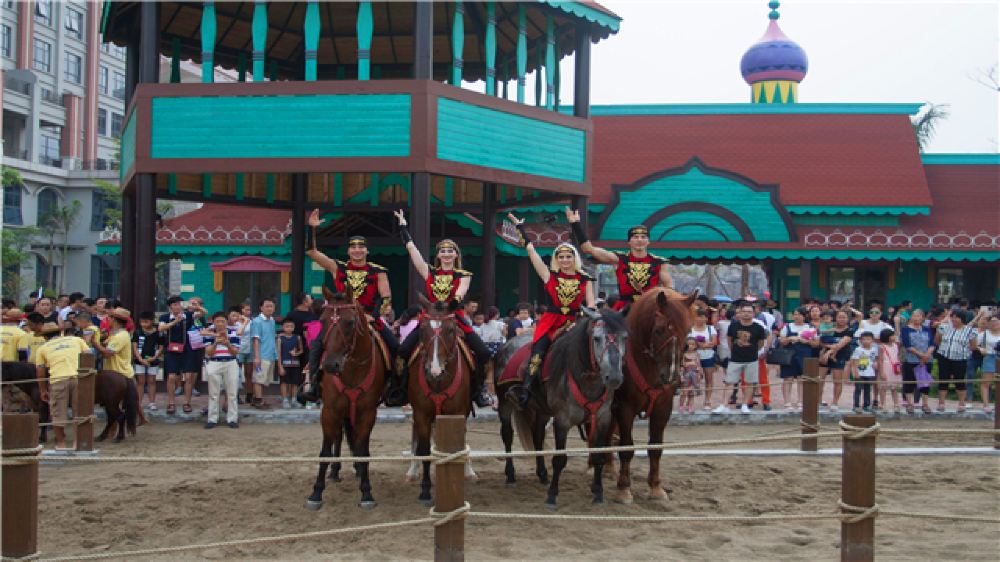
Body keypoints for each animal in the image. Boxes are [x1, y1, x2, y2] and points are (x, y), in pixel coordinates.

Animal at [306, 287, 388, 510]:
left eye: (350, 322)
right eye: (323, 320)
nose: (330, 365)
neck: (351, 369)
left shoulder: (368, 413)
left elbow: (364, 451)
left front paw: (366, 492)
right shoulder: (329, 411)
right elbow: (325, 451)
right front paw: (316, 493)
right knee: (339, 437)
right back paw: (335, 471)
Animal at [404, 295, 476, 506]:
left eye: (451, 330)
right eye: (422, 330)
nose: (434, 370)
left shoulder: (457, 412)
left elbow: (456, 448)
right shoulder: (421, 413)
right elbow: (425, 450)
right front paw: (425, 491)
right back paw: (412, 470)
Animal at [497, 308, 629, 507]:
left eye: (624, 338)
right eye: (597, 338)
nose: (613, 377)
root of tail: (508, 343)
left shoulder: (602, 418)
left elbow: (598, 456)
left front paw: (598, 493)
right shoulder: (562, 420)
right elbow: (559, 459)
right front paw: (552, 495)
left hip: (542, 409)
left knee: (537, 436)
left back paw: (542, 474)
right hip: (504, 402)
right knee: (507, 435)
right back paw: (511, 475)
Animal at [612, 288, 696, 504]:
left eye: (688, 331)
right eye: (659, 330)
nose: (671, 375)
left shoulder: (662, 408)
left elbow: (656, 447)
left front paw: (656, 488)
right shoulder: (624, 407)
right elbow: (626, 447)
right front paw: (623, 489)